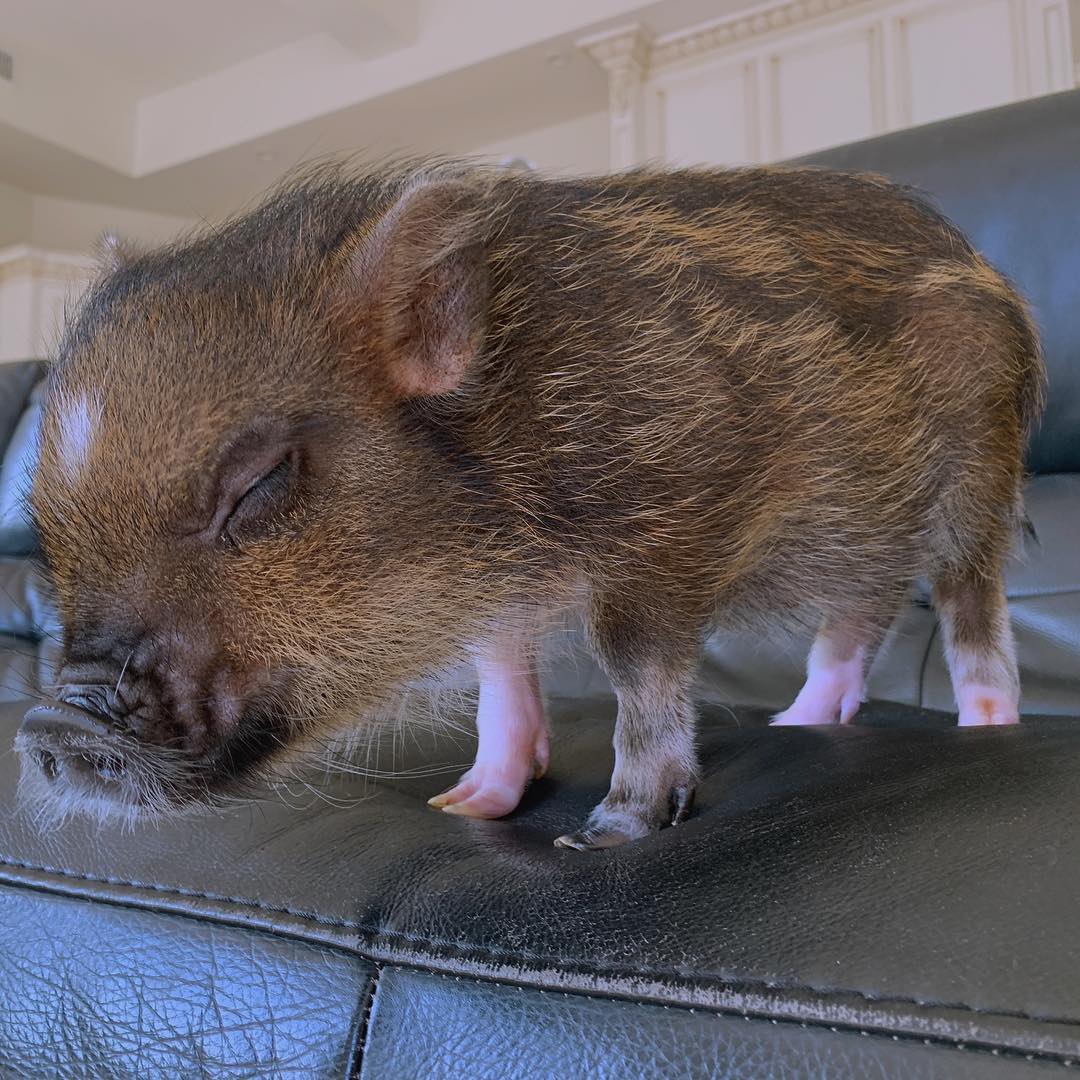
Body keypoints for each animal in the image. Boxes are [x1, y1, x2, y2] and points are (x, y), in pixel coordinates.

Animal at [17, 161, 1043, 849]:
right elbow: (499, 677)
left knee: (968, 604)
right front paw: (465, 806)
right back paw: (798, 726)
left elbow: (638, 670)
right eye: (43, 520)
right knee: (865, 612)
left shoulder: (665, 533)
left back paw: (991, 730)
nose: (50, 724)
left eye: (260, 484)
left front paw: (605, 833)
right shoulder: (495, 583)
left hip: (981, 477)